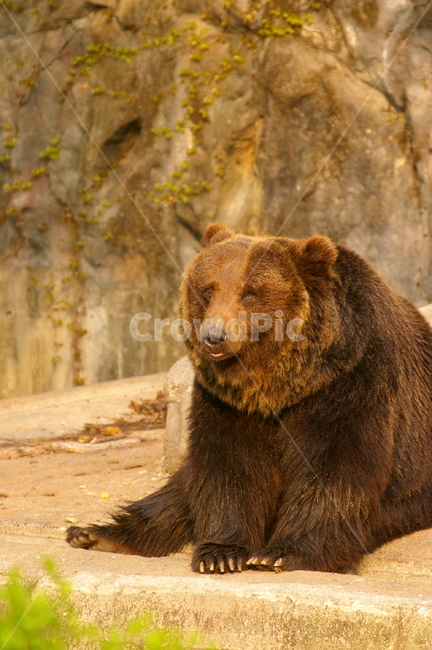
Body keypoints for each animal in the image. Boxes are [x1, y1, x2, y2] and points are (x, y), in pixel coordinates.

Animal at [67, 223, 432, 574]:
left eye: (250, 291)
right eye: (208, 289)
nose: (214, 336)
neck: (282, 383)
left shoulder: (351, 381)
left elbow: (336, 468)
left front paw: (281, 553)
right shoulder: (227, 402)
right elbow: (230, 466)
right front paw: (221, 554)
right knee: (178, 490)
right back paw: (95, 533)